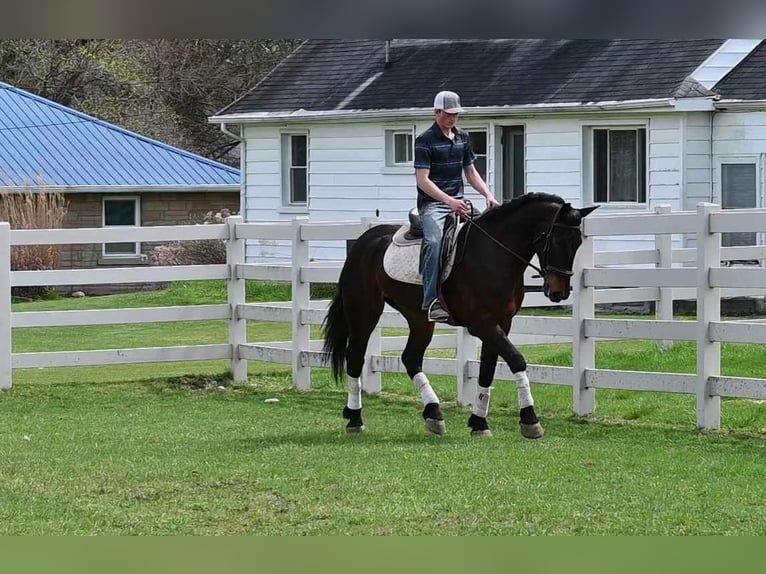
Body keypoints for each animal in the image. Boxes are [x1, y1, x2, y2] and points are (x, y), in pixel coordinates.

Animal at [320, 191, 596, 438]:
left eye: (578, 243)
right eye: (557, 240)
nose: (559, 292)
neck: (494, 254)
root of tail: (364, 241)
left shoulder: (502, 323)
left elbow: (487, 370)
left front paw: (479, 423)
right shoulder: (481, 324)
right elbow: (517, 360)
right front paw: (530, 419)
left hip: (419, 319)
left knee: (411, 359)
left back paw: (433, 414)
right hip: (364, 312)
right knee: (355, 358)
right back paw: (355, 418)